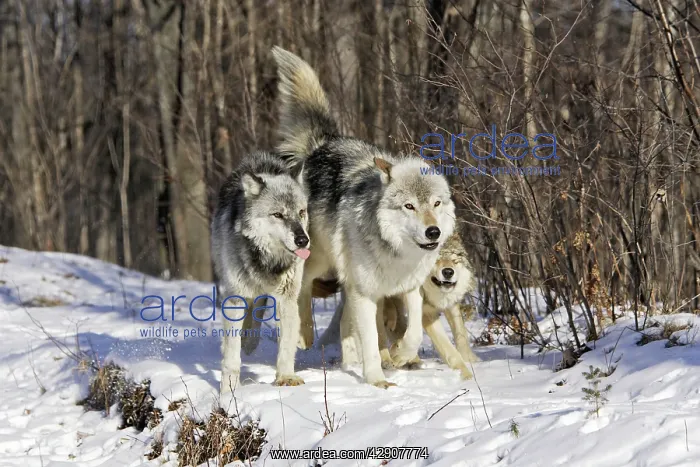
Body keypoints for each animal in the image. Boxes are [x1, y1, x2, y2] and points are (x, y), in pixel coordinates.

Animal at [211, 151, 311, 395]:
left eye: (301, 212)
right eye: (278, 215)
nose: (302, 240)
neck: (267, 260)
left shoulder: (287, 299)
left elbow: (286, 345)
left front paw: (286, 377)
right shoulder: (234, 297)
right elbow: (232, 355)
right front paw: (229, 390)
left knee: (257, 309)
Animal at [271, 46, 456, 388]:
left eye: (436, 203)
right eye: (409, 206)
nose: (433, 232)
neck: (396, 253)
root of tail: (324, 143)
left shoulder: (409, 288)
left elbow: (413, 332)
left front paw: (400, 356)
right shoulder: (364, 293)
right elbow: (369, 339)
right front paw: (377, 380)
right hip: (319, 258)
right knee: (304, 288)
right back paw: (305, 334)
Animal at [318, 232, 480, 379]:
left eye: (455, 260)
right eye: (436, 260)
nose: (448, 272)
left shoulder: (450, 306)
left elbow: (461, 336)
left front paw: (471, 361)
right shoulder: (426, 314)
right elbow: (448, 348)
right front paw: (466, 375)